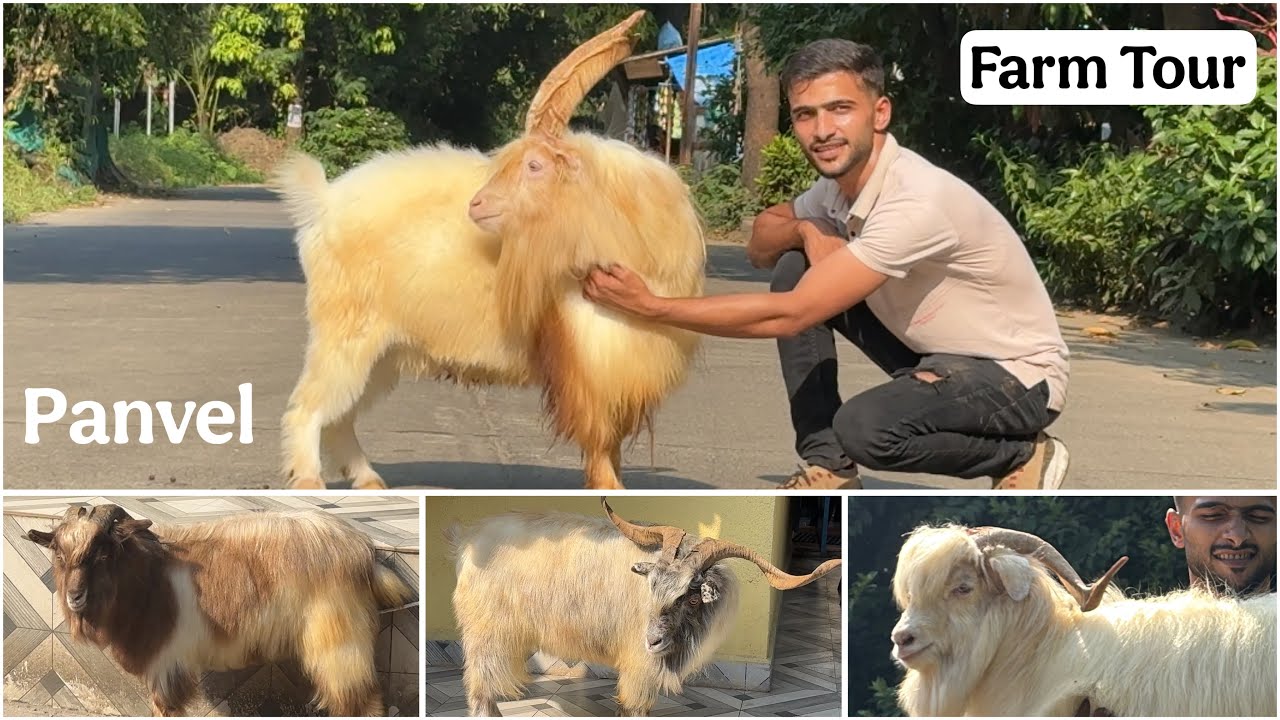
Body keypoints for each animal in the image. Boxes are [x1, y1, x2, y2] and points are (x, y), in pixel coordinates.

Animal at [24, 504, 413, 717]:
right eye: (59, 554)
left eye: (104, 553)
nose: (74, 597)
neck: (147, 577)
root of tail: (364, 553)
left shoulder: (167, 665)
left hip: (339, 645)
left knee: (363, 702)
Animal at [271, 10, 705, 490]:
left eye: (534, 166)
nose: (476, 205)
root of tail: (324, 201)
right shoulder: (588, 361)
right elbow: (598, 441)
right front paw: (608, 489)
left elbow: (609, 443)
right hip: (346, 332)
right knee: (309, 406)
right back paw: (310, 481)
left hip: (384, 350)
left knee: (341, 415)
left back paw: (368, 479)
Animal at [445, 497, 843, 716]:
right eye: (652, 585)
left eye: (693, 594)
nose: (652, 640)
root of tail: (467, 540)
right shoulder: (639, 666)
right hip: (486, 635)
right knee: (479, 692)